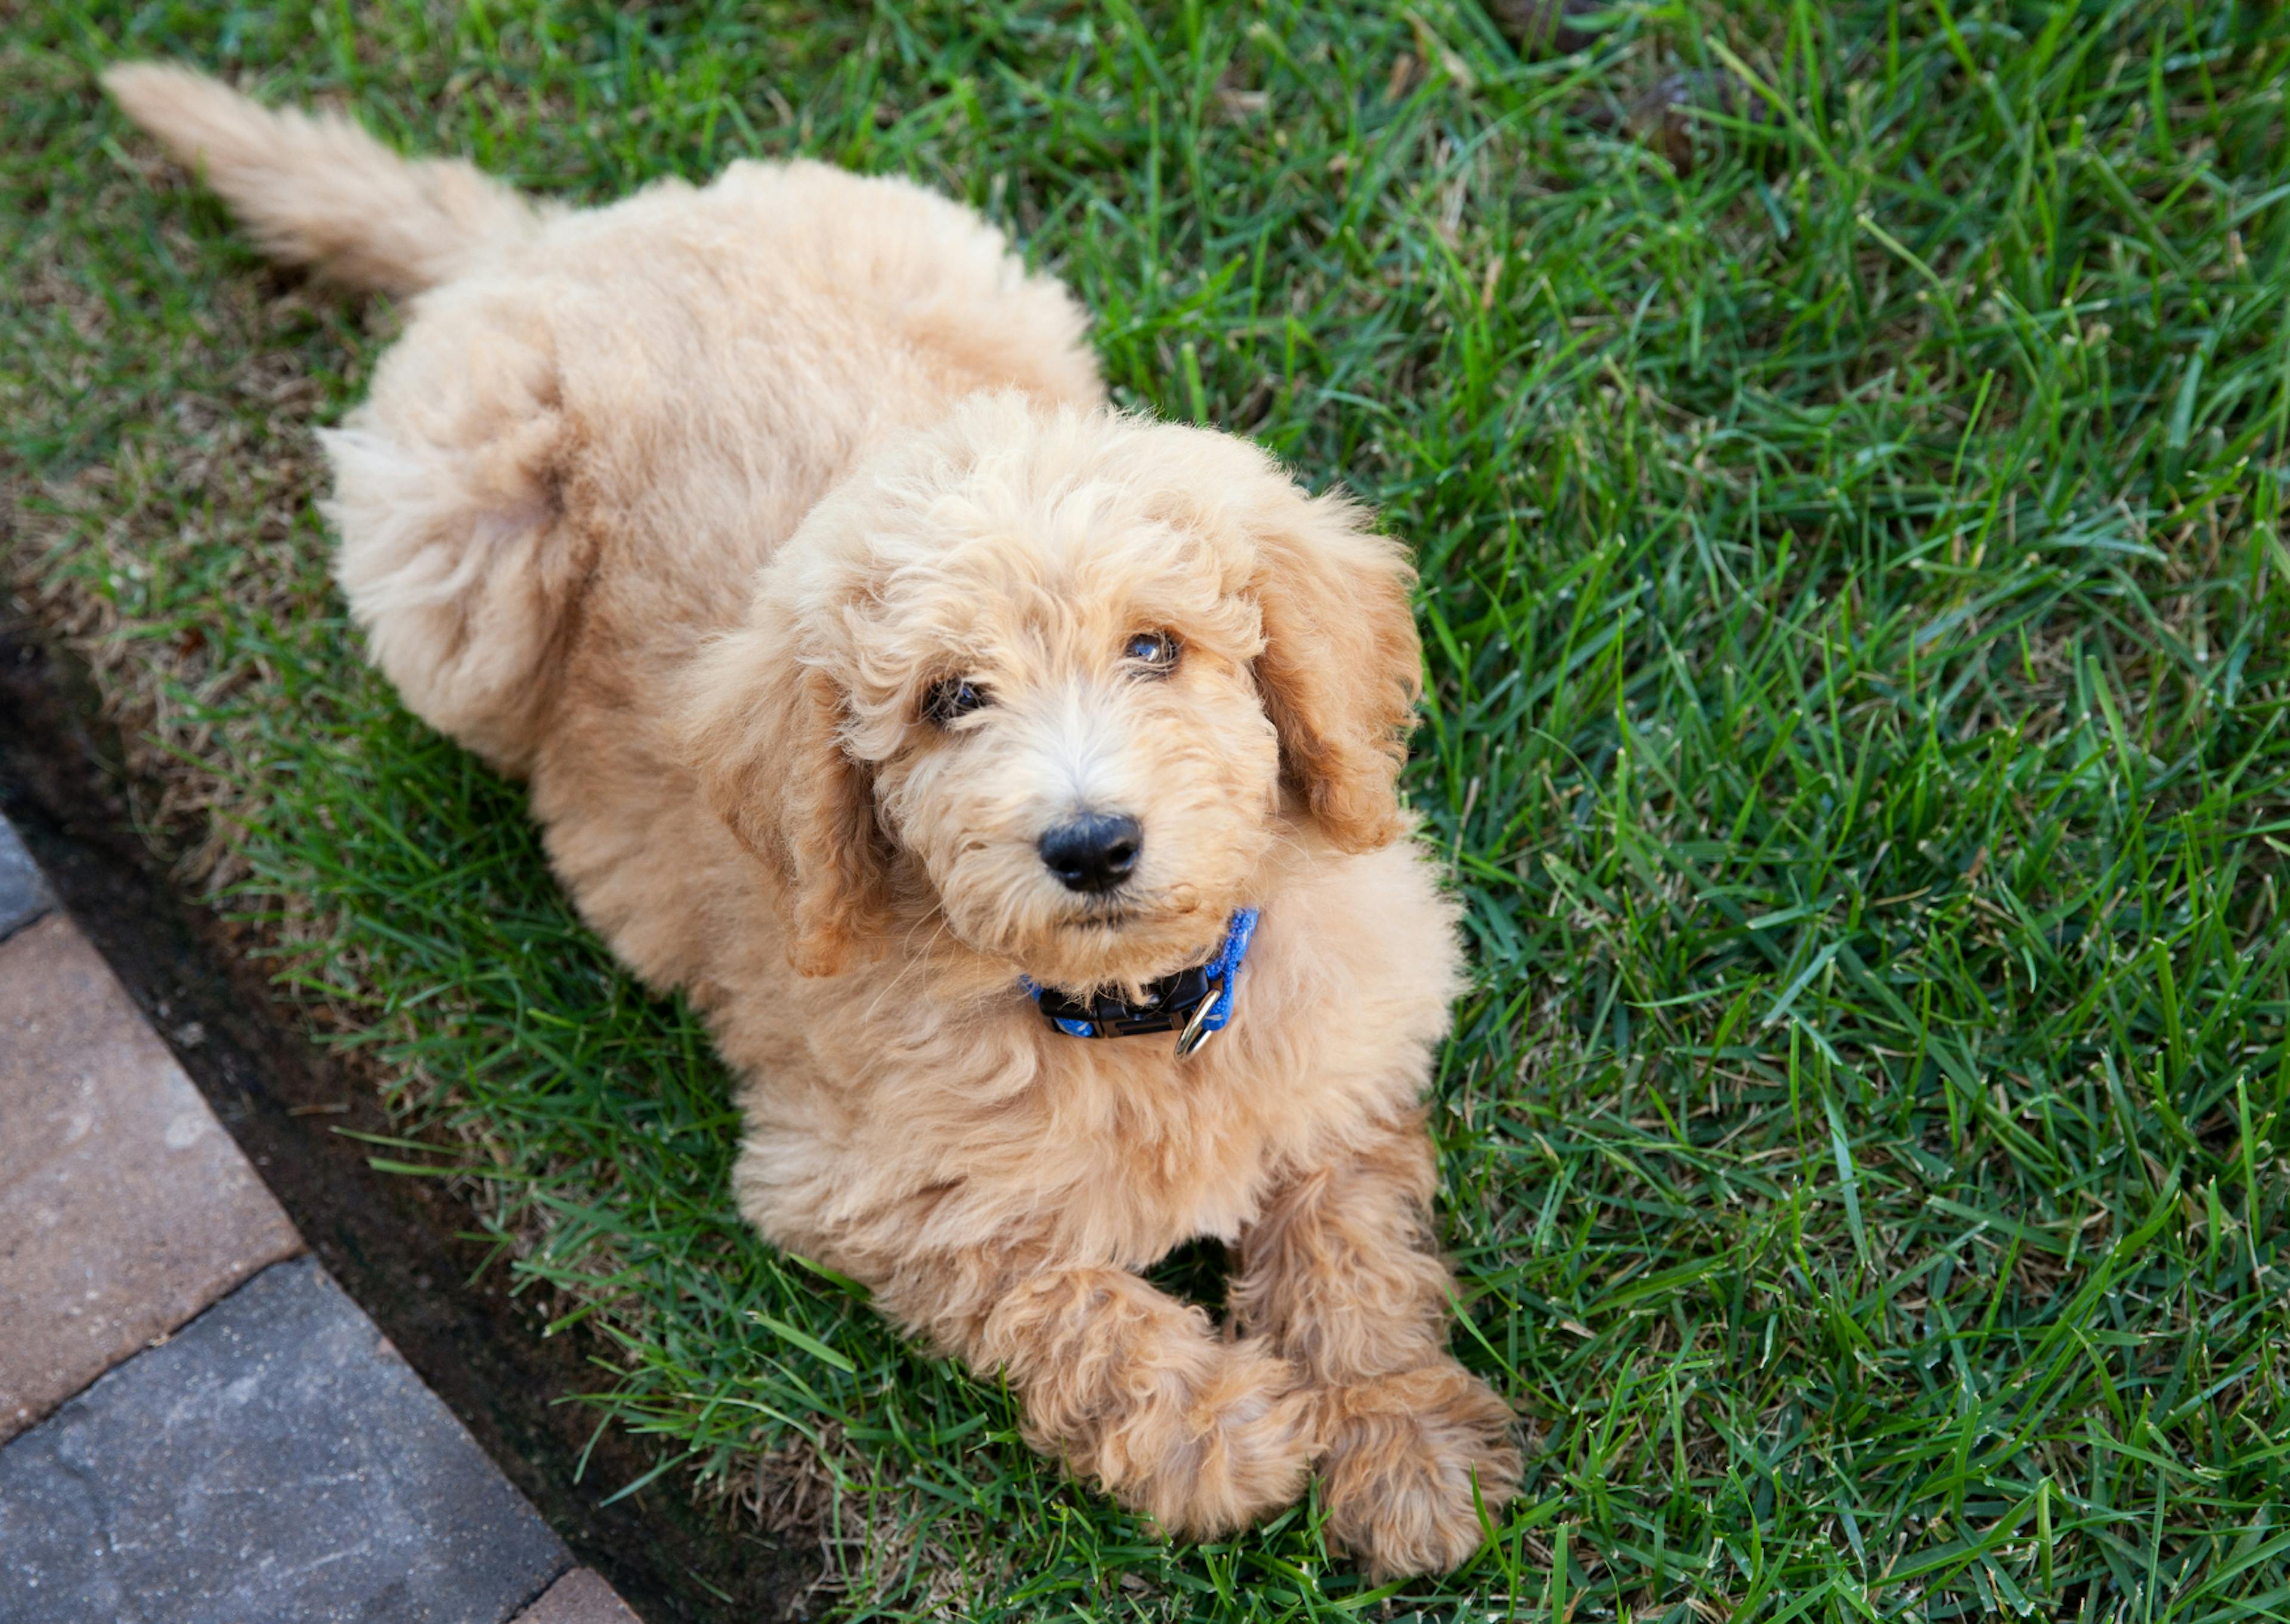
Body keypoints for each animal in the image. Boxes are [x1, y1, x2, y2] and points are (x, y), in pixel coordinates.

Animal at [112, 63, 1520, 1566]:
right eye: (952, 700)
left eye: (1155, 649)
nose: (1090, 846)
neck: (1134, 1014)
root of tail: (543, 245)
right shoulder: (857, 1182)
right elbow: (1050, 1291)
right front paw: (1212, 1430)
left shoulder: (1356, 1049)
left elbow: (1351, 1242)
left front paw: (1403, 1446)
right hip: (452, 579)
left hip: (984, 290)